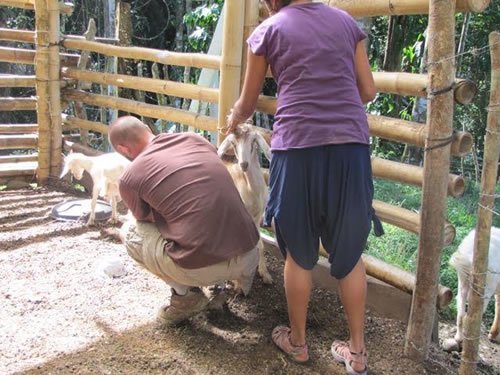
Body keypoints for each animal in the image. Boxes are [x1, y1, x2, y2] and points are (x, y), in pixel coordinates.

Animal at [219, 123, 274, 284]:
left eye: (253, 142)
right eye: (233, 143)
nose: (244, 164)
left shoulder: (257, 216)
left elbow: (260, 244)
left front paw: (265, 274)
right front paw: (237, 281)